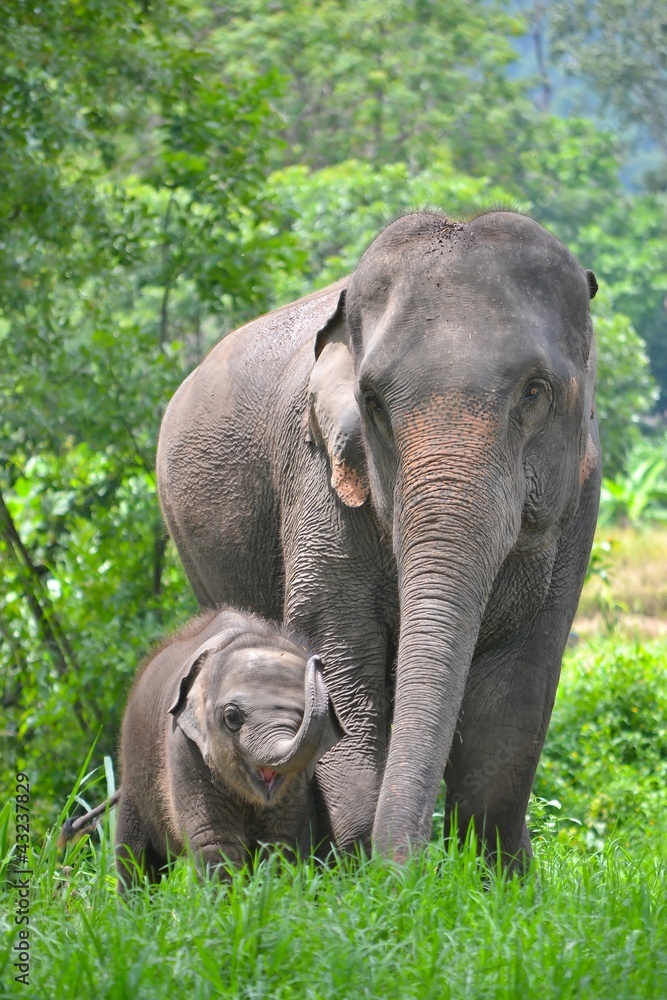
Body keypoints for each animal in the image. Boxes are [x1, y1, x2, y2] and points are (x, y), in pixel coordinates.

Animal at [110, 606, 342, 886]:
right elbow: (215, 837)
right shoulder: (182, 743)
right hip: (134, 776)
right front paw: (226, 896)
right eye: (232, 717)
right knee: (135, 859)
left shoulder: (298, 777)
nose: (318, 660)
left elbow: (280, 840)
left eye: (303, 715)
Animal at [157, 209, 601, 866]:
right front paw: (362, 871)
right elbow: (339, 654)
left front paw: (492, 875)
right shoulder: (318, 478)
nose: (416, 867)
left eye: (535, 391)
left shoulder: (580, 501)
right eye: (371, 401)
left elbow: (521, 680)